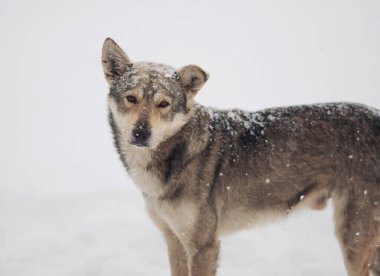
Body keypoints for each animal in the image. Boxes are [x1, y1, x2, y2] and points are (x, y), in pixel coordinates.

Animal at [101, 37, 380, 276]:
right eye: (131, 98)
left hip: (353, 239)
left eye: (163, 104)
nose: (140, 133)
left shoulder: (203, 246)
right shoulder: (174, 241)